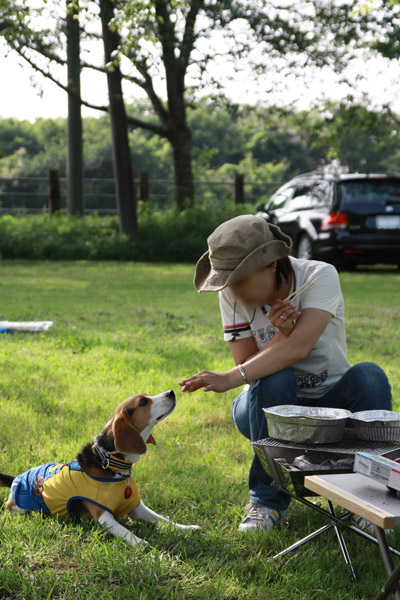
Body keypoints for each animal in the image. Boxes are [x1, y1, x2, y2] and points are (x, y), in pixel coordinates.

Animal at [0, 390, 199, 548]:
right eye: (143, 402)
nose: (172, 392)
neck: (113, 465)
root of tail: (16, 478)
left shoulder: (137, 508)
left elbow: (164, 519)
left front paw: (186, 528)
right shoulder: (103, 516)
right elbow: (124, 530)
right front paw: (139, 542)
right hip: (19, 507)